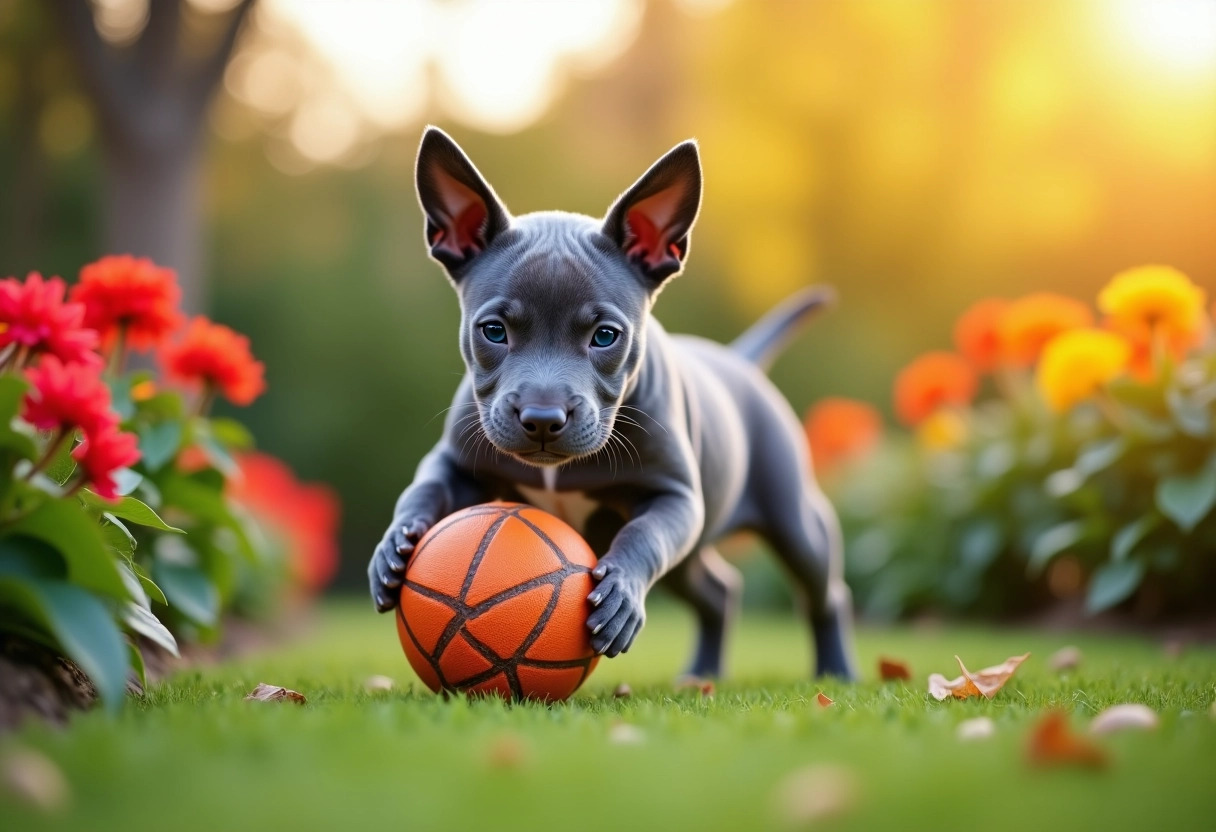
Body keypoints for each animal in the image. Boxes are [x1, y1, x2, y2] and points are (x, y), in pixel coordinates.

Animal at [369, 126, 856, 681]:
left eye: (605, 336)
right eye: (493, 330)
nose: (542, 419)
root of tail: (740, 360)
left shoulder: (674, 499)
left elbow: (643, 536)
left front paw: (620, 591)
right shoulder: (453, 463)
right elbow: (422, 489)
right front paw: (394, 545)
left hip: (794, 521)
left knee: (824, 592)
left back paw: (837, 671)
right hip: (694, 561)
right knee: (718, 591)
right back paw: (702, 674)